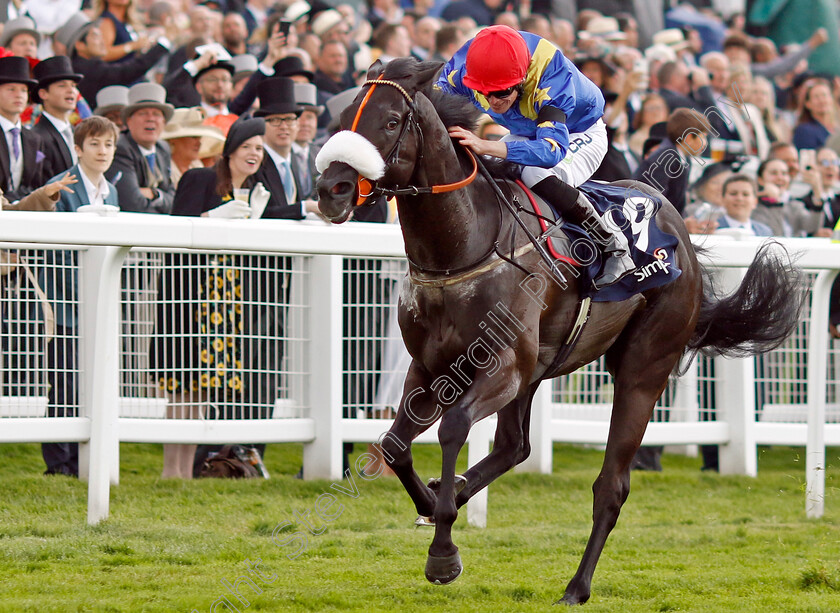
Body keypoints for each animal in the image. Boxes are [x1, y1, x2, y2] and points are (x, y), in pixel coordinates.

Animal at [316, 59, 800, 604]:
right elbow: (396, 445)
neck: (462, 247)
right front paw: (434, 502)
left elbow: (453, 427)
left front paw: (443, 552)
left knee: (610, 484)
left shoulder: (502, 366)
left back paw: (576, 587)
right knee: (515, 446)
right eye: (345, 117)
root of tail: (683, 235)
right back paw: (458, 491)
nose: (331, 190)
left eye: (392, 120)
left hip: (642, 366)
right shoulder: (431, 366)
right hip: (537, 371)